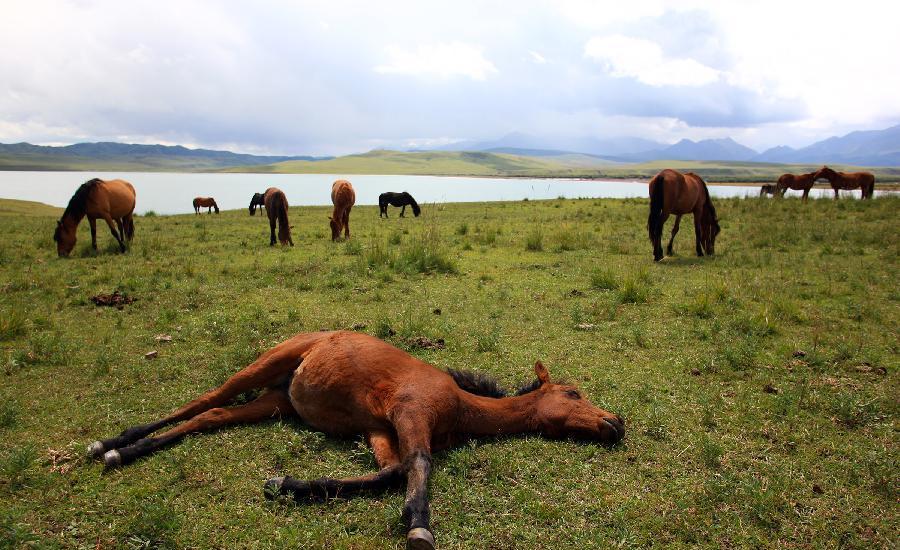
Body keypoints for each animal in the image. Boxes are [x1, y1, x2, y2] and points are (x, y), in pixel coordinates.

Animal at [88, 332, 624, 550]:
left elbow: (388, 472)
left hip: (276, 402)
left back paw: (124, 450)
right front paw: (419, 527)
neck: (460, 404)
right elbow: (418, 465)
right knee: (202, 401)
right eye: (573, 393)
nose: (616, 422)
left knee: (211, 415)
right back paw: (111, 445)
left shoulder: (379, 429)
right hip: (265, 365)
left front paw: (287, 486)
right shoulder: (409, 414)